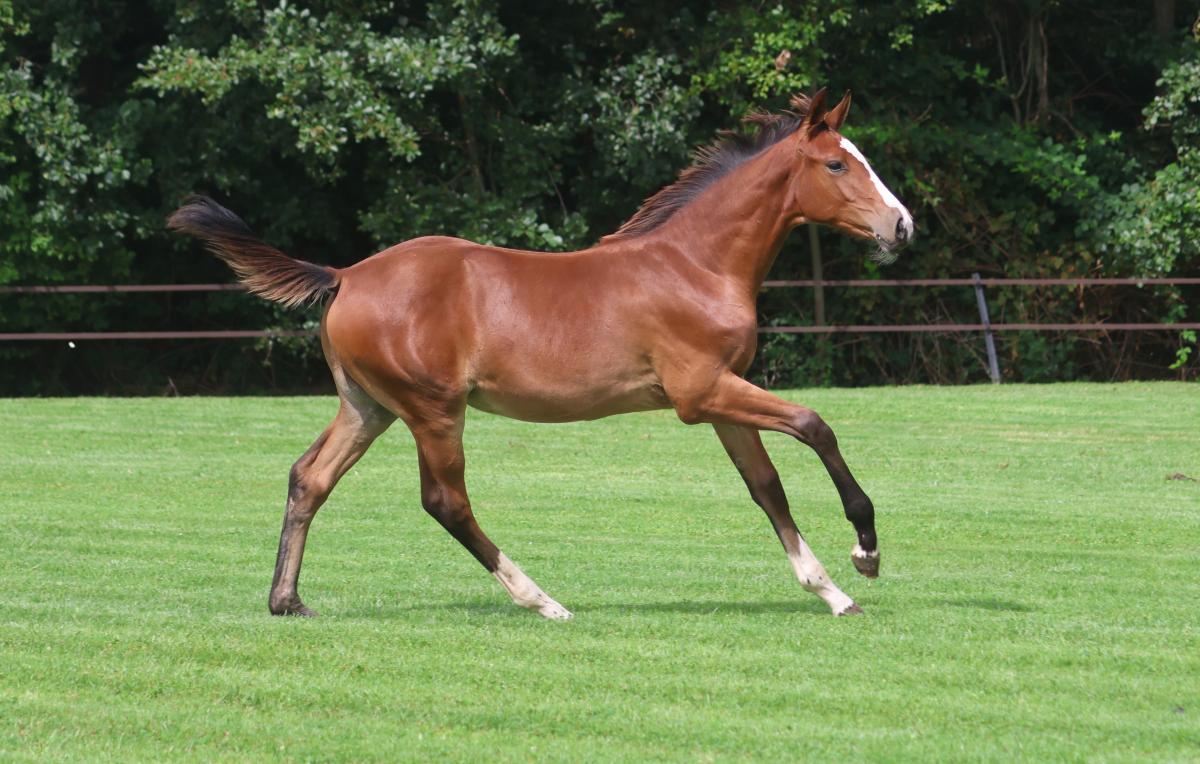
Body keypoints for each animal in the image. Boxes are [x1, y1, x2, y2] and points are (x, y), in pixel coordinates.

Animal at [168, 88, 913, 619]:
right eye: (837, 163)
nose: (901, 225)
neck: (694, 265)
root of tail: (346, 275)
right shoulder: (701, 393)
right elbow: (816, 425)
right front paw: (865, 551)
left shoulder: (724, 395)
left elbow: (765, 486)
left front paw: (831, 592)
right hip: (433, 410)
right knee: (445, 500)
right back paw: (543, 600)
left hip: (367, 408)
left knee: (309, 478)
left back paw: (287, 600)